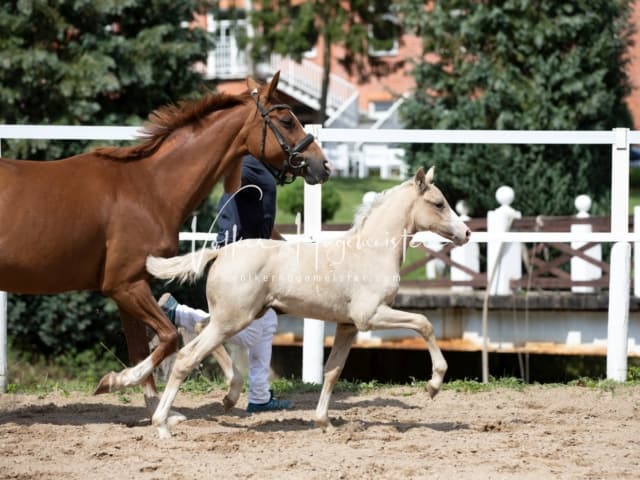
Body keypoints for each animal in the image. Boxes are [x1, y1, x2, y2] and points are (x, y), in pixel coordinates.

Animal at [0, 72, 330, 416]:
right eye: (287, 120)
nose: (323, 165)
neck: (149, 189)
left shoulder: (129, 287)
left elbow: (141, 346)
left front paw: (156, 407)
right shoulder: (126, 285)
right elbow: (168, 338)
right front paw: (115, 382)